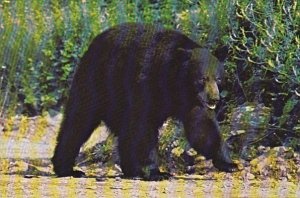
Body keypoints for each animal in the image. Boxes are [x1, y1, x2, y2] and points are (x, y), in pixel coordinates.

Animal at [52, 23, 238, 179]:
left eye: (218, 78)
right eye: (202, 78)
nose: (214, 98)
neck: (174, 82)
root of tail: (92, 44)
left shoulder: (191, 100)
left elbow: (201, 126)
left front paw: (229, 163)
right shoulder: (145, 82)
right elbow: (143, 126)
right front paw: (155, 172)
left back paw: (130, 170)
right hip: (96, 81)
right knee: (79, 120)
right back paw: (67, 168)